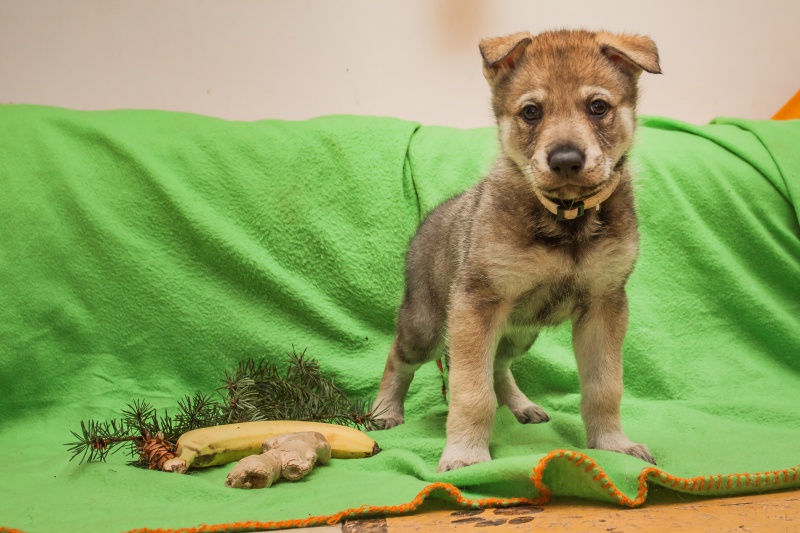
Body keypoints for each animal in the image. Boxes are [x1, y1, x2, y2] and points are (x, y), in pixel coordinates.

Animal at [376, 29, 664, 470]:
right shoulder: (477, 304)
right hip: (426, 326)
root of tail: (427, 221)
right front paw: (465, 455)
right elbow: (470, 391)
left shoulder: (604, 306)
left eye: (598, 107)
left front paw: (613, 445)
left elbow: (604, 386)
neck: (566, 220)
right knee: (398, 356)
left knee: (498, 365)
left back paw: (521, 405)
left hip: (520, 332)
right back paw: (385, 411)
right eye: (531, 112)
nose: (566, 160)